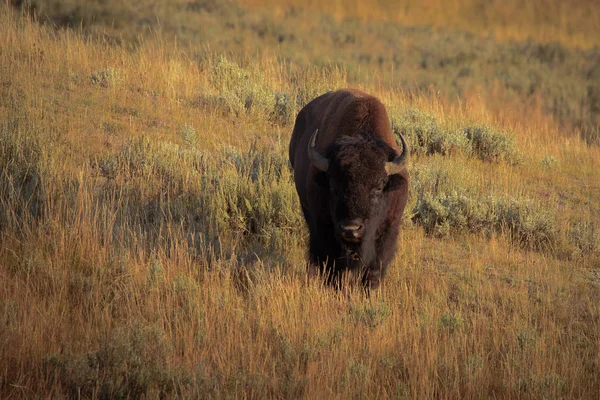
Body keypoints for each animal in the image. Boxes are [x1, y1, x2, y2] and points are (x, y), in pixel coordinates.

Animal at [288, 88, 410, 288]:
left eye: (379, 186)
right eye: (333, 185)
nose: (351, 229)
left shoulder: (388, 229)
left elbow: (374, 268)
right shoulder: (324, 227)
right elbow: (333, 267)